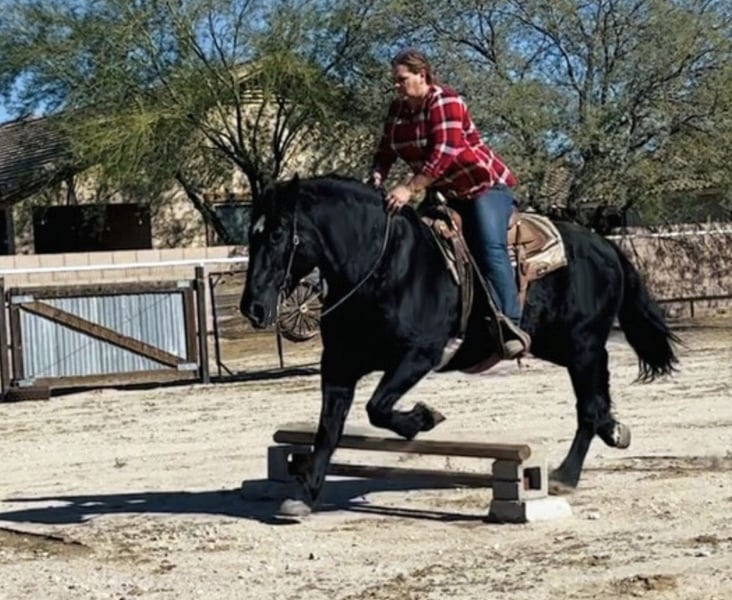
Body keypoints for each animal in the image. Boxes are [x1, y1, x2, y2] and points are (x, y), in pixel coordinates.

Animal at [240, 174, 678, 517]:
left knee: (587, 406)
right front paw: (304, 493)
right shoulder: (339, 365)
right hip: (558, 344)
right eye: (251, 235)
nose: (253, 307)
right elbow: (328, 430)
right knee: (597, 393)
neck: (384, 266)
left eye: (277, 233)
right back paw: (613, 429)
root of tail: (605, 246)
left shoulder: (419, 354)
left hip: (582, 341)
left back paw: (567, 474)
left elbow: (377, 408)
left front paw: (423, 418)